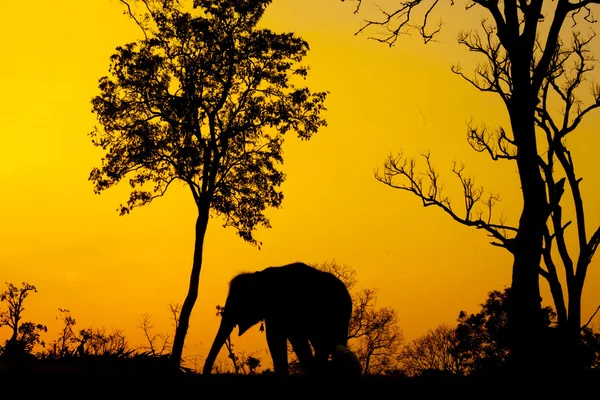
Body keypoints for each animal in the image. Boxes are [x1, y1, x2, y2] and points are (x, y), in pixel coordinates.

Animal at [203, 260, 352, 376]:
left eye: (239, 302)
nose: (206, 372)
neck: (259, 277)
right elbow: (275, 338)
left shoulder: (283, 308)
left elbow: (280, 338)